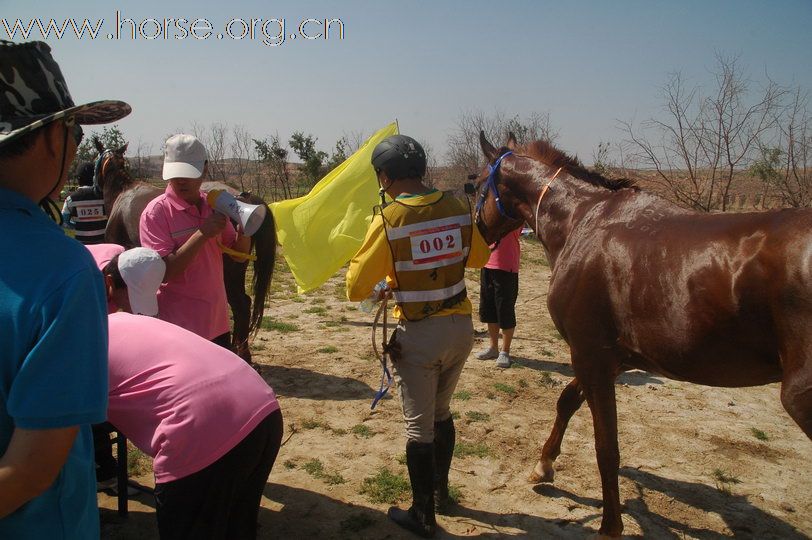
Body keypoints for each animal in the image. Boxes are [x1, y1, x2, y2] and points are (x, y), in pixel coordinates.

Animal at [472, 133, 808, 536]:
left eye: (476, 186)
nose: (476, 232)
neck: (582, 221)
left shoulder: (591, 356)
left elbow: (606, 447)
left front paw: (609, 527)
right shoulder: (608, 359)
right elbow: (567, 402)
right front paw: (543, 465)